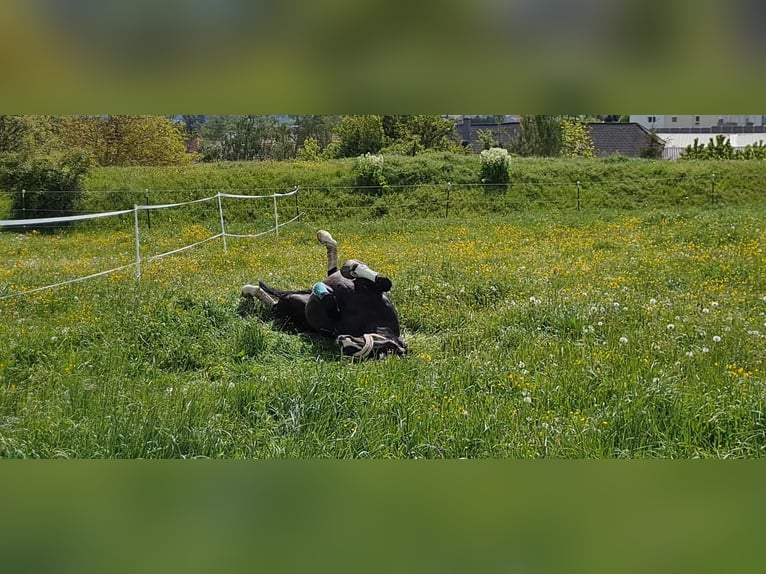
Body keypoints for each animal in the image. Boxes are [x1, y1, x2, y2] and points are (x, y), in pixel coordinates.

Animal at [240, 230, 407, 359]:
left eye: (376, 354)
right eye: (385, 347)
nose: (343, 342)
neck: (372, 318)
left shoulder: (334, 321)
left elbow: (329, 299)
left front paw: (321, 289)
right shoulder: (367, 286)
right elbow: (384, 282)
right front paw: (352, 266)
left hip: (289, 306)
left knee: (272, 302)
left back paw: (248, 290)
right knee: (333, 267)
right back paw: (326, 238)